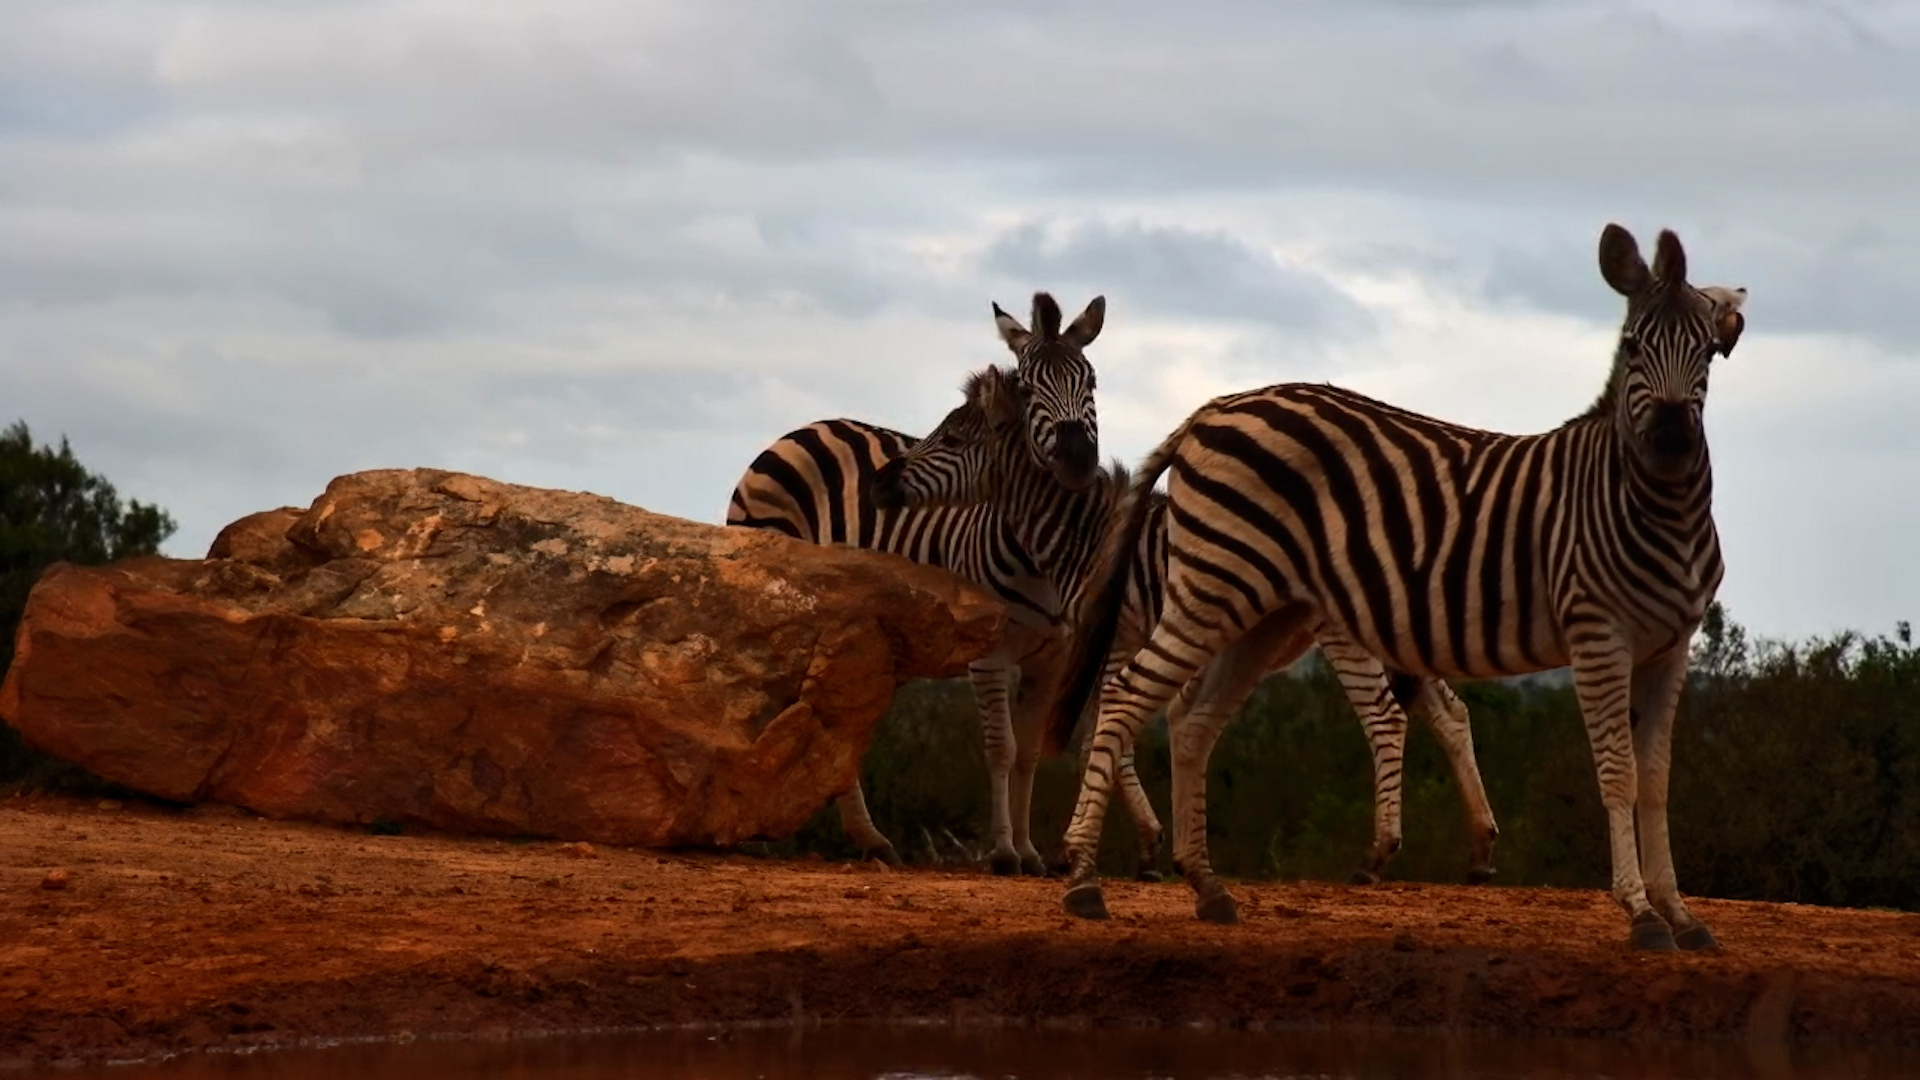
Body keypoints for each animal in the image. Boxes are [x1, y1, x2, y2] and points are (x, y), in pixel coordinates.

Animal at [725, 292, 1164, 876]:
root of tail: (806, 427)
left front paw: (1032, 852)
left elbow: (1030, 752)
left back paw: (871, 842)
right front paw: (1004, 852)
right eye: (1028, 388)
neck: (1038, 561)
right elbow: (1002, 747)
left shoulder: (1053, 658)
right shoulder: (991, 656)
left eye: (1090, 381)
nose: (1076, 460)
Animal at [871, 367, 1500, 887]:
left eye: (952, 440)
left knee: (1385, 714)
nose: (882, 482)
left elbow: (1111, 730)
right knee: (1448, 712)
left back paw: (1377, 856)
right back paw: (1480, 850)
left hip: (1343, 632)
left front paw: (1145, 845)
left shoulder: (1114, 639)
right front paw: (1168, 844)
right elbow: (1159, 724)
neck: (1084, 536)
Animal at [1051, 224, 1747, 951]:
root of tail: (1211, 408)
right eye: (1634, 346)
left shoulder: (1670, 648)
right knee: (1126, 697)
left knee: (1192, 722)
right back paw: (1084, 880)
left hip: (1262, 614)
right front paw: (1641, 914)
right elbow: (1617, 773)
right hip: (1214, 590)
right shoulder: (1598, 636)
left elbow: (1657, 781)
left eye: (1707, 350)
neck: (1652, 509)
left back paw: (1208, 887)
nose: (1670, 441)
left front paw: (1681, 915)